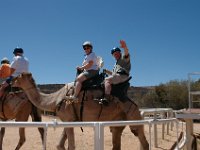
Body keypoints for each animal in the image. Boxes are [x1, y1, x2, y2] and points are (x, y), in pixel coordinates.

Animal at [13, 72, 149, 149]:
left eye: (18, 77)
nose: (11, 81)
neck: (56, 99)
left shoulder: (68, 118)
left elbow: (71, 146)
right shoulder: (69, 120)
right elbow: (60, 145)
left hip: (133, 115)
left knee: (143, 141)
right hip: (118, 121)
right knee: (117, 142)